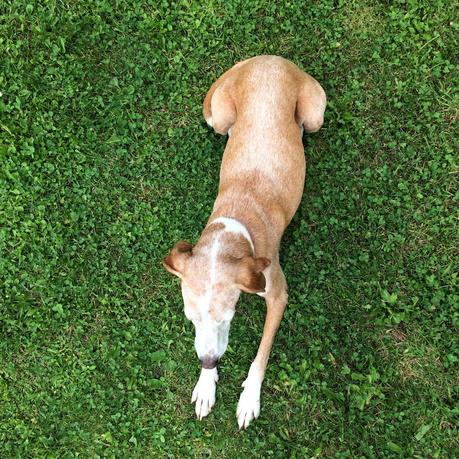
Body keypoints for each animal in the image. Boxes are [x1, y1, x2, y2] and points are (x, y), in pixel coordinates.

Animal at [164, 55, 326, 430]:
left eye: (228, 317)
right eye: (190, 318)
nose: (208, 363)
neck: (236, 222)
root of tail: (270, 59)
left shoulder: (278, 296)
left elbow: (261, 355)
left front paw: (249, 397)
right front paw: (206, 385)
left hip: (315, 114)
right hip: (218, 116)